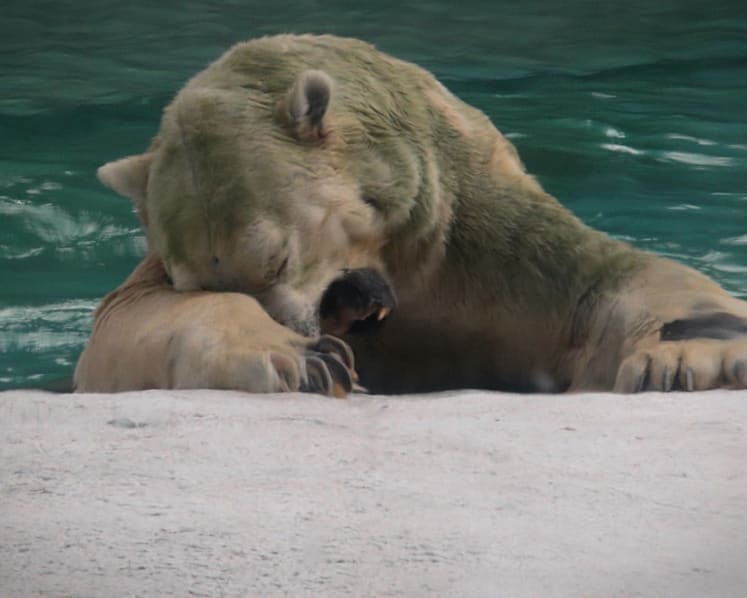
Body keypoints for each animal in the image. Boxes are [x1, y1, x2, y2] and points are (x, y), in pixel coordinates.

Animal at [75, 34, 747, 395]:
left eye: (278, 259)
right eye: (195, 279)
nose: (303, 326)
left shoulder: (471, 233)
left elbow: (594, 281)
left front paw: (694, 356)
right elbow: (125, 321)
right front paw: (308, 358)